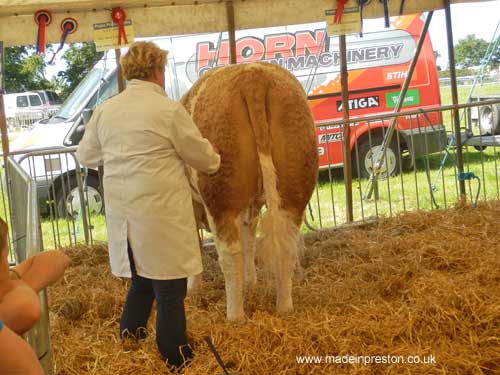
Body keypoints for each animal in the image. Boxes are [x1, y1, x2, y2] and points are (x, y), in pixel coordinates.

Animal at [182, 63, 318, 322]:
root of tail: (253, 75)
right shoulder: (252, 205)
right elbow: (250, 240)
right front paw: (251, 281)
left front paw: (193, 288)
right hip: (294, 189)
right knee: (286, 246)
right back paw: (284, 307)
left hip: (221, 197)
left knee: (230, 255)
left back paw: (235, 316)